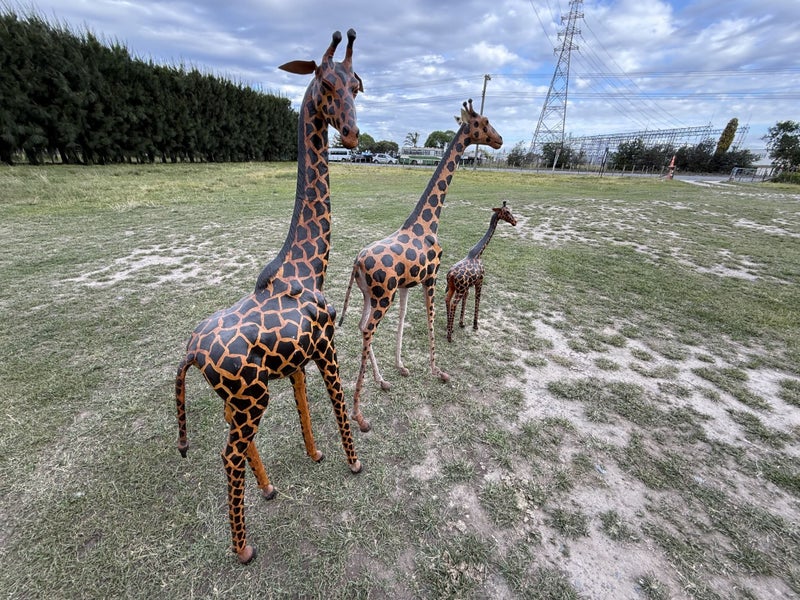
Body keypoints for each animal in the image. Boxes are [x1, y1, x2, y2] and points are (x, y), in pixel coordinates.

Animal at [174, 29, 364, 564]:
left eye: (356, 86)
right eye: (326, 86)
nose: (352, 135)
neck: (309, 265)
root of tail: (192, 353)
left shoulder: (297, 361)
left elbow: (304, 406)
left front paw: (316, 454)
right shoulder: (327, 346)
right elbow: (337, 405)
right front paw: (355, 462)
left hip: (238, 398)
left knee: (231, 440)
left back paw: (269, 489)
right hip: (251, 397)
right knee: (227, 453)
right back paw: (243, 547)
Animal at [338, 99, 503, 432]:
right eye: (484, 122)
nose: (500, 140)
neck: (428, 223)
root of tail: (356, 262)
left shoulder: (406, 287)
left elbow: (403, 320)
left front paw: (401, 366)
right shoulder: (433, 278)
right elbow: (431, 318)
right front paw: (438, 371)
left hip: (370, 295)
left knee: (362, 327)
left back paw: (382, 381)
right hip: (381, 297)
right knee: (367, 330)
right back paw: (359, 414)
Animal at [444, 201, 517, 342]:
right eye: (506, 212)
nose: (515, 222)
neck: (477, 253)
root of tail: (450, 275)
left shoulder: (467, 287)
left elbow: (466, 299)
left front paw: (461, 323)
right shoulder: (480, 281)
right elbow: (477, 299)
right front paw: (475, 325)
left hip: (452, 287)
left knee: (447, 299)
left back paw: (448, 327)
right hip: (459, 289)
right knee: (454, 303)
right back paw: (449, 336)